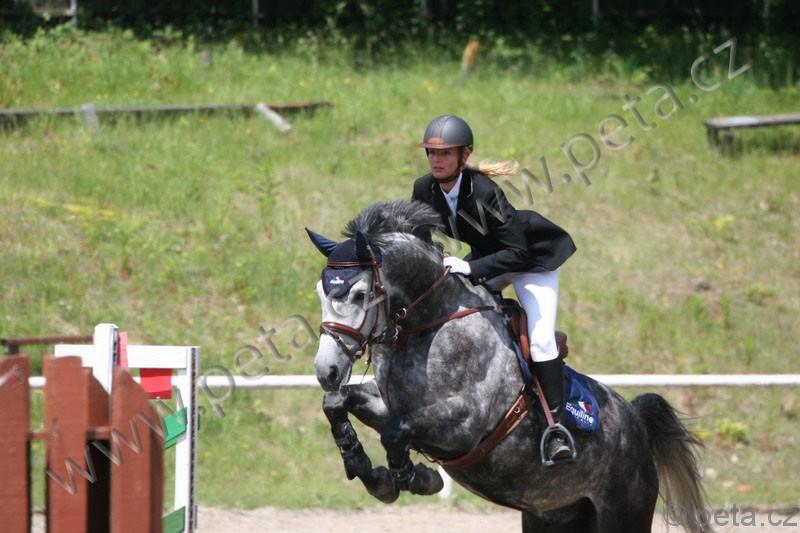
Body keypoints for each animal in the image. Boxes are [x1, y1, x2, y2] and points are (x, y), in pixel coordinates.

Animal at [307, 199, 711, 533]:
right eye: (321, 292)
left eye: (359, 294)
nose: (326, 370)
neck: (429, 323)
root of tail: (637, 425)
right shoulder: (387, 403)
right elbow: (337, 403)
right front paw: (366, 469)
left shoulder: (466, 425)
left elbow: (396, 432)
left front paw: (413, 477)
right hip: (552, 516)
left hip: (623, 514)